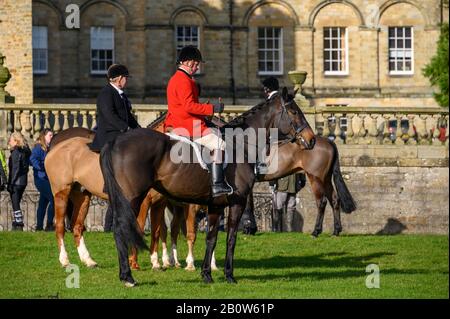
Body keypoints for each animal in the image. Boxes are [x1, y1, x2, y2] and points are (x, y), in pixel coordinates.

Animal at [100, 88, 318, 288]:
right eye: (294, 111)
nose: (312, 139)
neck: (240, 144)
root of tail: (116, 140)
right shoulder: (237, 203)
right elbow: (231, 238)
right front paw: (229, 275)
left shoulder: (215, 206)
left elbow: (211, 238)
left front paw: (206, 274)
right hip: (133, 198)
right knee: (121, 228)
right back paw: (128, 277)